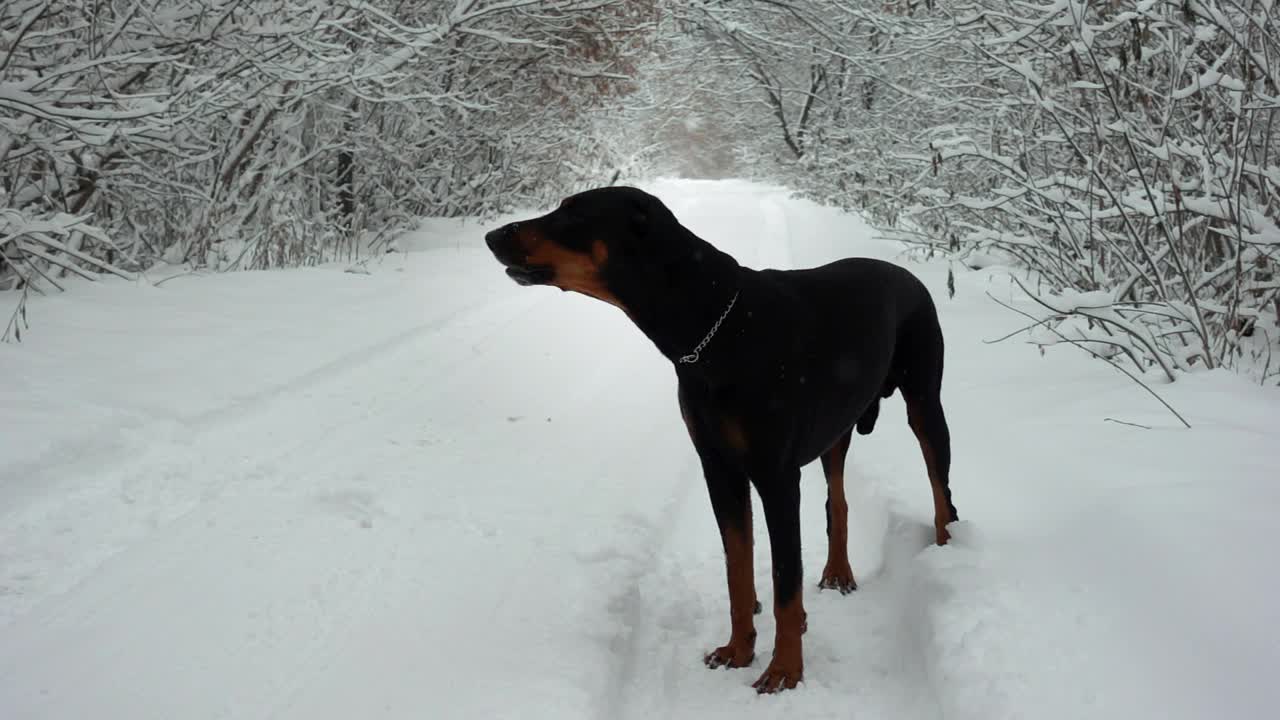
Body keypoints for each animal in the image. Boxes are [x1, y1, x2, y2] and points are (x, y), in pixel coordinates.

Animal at [483, 184, 957, 691]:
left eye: (572, 213)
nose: (492, 235)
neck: (713, 326)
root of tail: (908, 274)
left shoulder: (776, 475)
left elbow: (785, 581)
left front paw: (784, 669)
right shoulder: (719, 467)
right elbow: (738, 568)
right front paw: (739, 649)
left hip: (925, 403)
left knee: (941, 492)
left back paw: (949, 555)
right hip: (838, 426)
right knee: (839, 497)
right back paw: (837, 572)